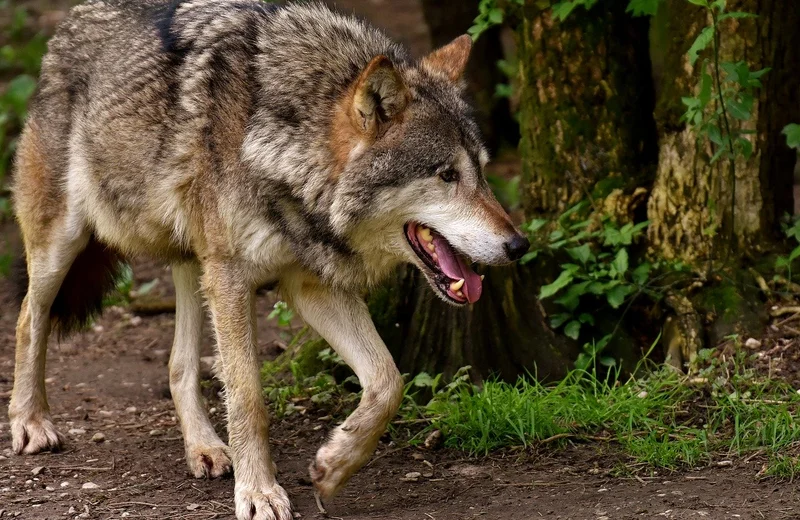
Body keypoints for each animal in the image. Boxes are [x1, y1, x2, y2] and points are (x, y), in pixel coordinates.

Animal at [9, 1, 532, 516]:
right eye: (447, 175)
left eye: (483, 173)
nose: (518, 245)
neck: (283, 146)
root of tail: (70, 21)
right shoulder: (233, 278)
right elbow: (248, 398)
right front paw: (259, 492)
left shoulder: (310, 286)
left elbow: (388, 382)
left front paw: (333, 466)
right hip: (65, 243)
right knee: (28, 318)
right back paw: (30, 423)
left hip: (194, 264)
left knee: (179, 365)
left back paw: (205, 448)